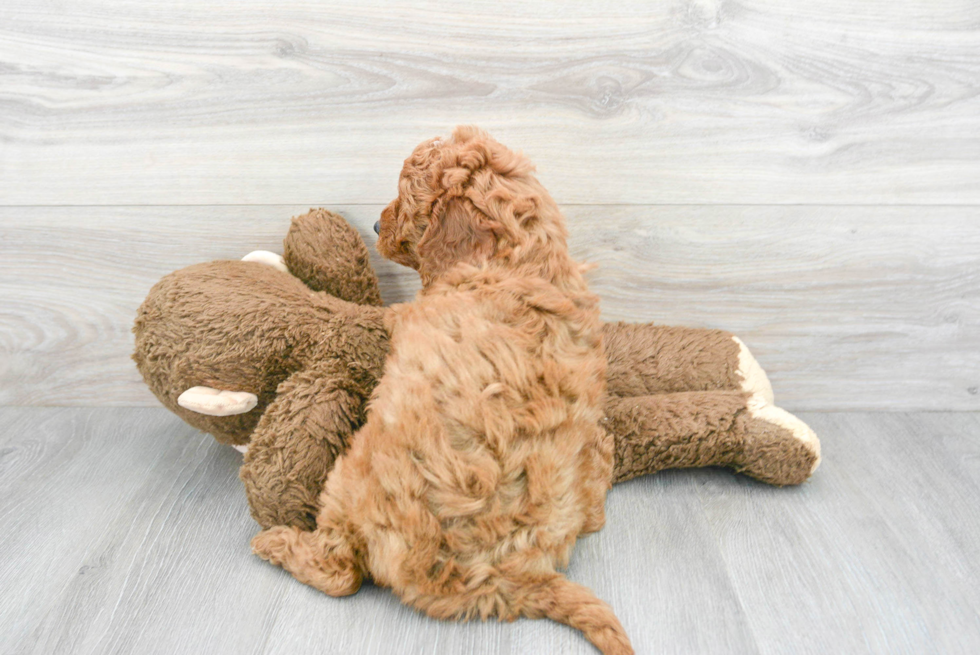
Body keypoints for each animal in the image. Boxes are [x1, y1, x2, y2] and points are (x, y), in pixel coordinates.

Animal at [253, 127, 632, 655]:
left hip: (351, 478)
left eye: (406, 197)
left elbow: (381, 318)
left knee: (341, 572)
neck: (520, 262)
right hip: (586, 461)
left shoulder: (409, 318)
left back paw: (275, 543)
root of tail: (510, 580)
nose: (376, 222)